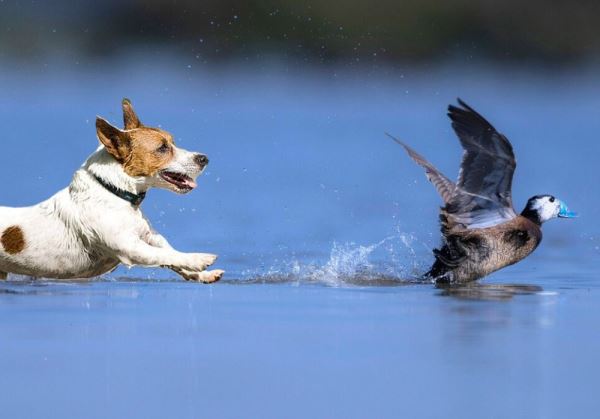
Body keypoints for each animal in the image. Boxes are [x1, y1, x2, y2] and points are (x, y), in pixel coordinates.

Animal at [0, 98, 223, 282]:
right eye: (162, 148)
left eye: (173, 142)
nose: (204, 158)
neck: (113, 192)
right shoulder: (131, 247)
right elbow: (166, 254)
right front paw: (199, 259)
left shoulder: (149, 237)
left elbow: (171, 254)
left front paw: (203, 274)